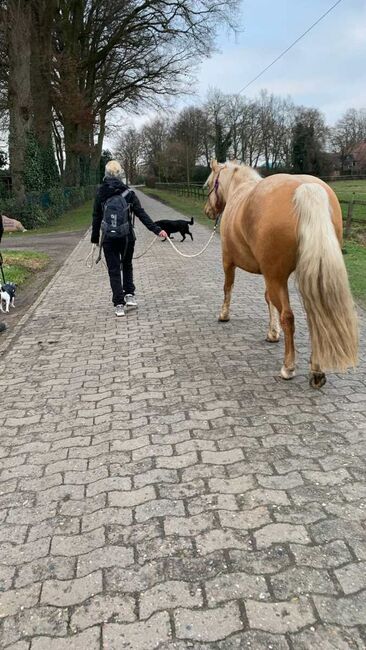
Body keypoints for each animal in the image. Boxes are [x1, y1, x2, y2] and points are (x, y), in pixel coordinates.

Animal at [204, 160, 358, 388]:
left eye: (208, 185)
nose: (208, 211)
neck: (238, 191)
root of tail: (304, 188)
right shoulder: (267, 274)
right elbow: (268, 299)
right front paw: (272, 333)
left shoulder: (229, 262)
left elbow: (228, 287)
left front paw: (224, 315)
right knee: (314, 316)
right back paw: (317, 371)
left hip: (277, 278)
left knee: (289, 317)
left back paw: (288, 367)